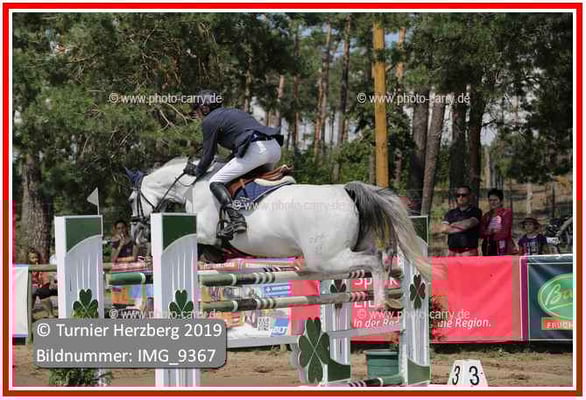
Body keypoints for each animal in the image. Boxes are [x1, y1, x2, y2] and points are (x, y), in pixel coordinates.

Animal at [127, 157, 431, 309]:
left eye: (131, 199)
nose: (136, 233)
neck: (192, 186)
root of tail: (345, 190)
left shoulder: (203, 233)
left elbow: (205, 245)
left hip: (328, 257)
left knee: (374, 261)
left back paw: (380, 302)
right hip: (348, 249)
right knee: (381, 253)